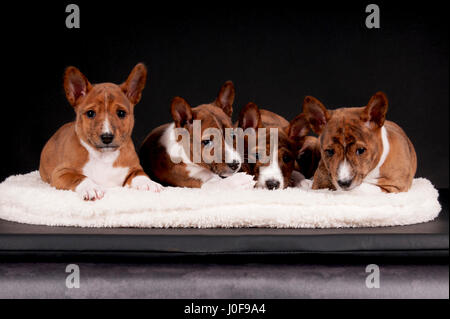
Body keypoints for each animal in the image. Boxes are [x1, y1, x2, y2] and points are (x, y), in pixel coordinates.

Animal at [38, 63, 162, 201]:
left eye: (121, 113)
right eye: (90, 113)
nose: (107, 137)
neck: (104, 157)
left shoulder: (134, 168)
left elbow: (140, 174)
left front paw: (149, 183)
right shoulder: (61, 173)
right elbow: (79, 178)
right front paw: (91, 188)